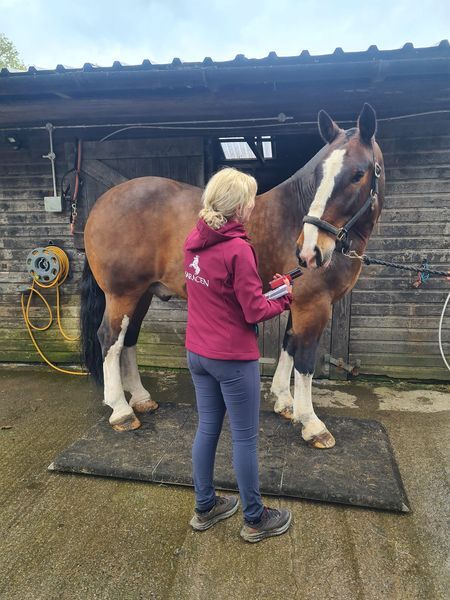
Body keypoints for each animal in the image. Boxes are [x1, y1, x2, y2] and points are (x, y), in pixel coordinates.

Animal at [80, 103, 384, 450]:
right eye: (319, 174)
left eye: (358, 174)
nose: (308, 252)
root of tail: (101, 204)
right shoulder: (313, 305)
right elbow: (305, 360)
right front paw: (311, 423)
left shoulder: (294, 300)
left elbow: (288, 346)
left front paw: (284, 402)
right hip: (122, 294)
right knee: (109, 339)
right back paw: (121, 410)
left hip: (142, 293)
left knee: (128, 338)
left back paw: (141, 399)